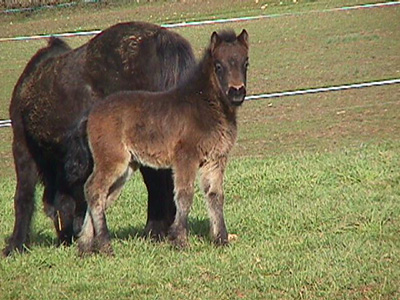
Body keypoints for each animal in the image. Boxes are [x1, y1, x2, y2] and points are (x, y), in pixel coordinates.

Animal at [4, 21, 195, 255]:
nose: (67, 238)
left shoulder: (22, 144)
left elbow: (23, 196)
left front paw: (15, 245)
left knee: (157, 183)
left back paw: (154, 231)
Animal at [75, 28, 248, 254]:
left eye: (246, 63)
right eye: (219, 65)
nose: (237, 92)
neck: (205, 106)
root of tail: (91, 114)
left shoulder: (215, 159)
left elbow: (215, 196)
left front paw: (221, 239)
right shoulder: (186, 157)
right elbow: (184, 195)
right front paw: (179, 240)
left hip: (126, 167)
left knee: (102, 195)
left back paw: (85, 246)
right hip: (111, 160)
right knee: (94, 190)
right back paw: (104, 245)